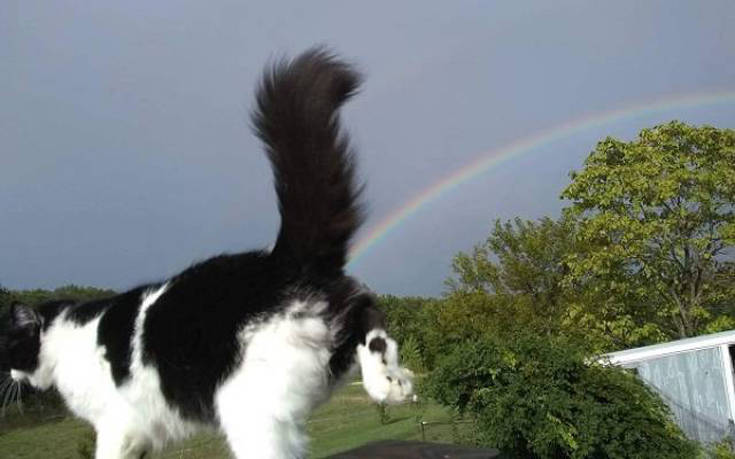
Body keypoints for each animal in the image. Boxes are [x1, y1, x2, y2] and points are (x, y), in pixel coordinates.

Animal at [0, 48, 414, 458]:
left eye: (9, 344)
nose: (8, 374)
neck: (62, 337)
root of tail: (281, 260)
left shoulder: (117, 425)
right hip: (334, 331)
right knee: (370, 316)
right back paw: (392, 383)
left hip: (248, 409)